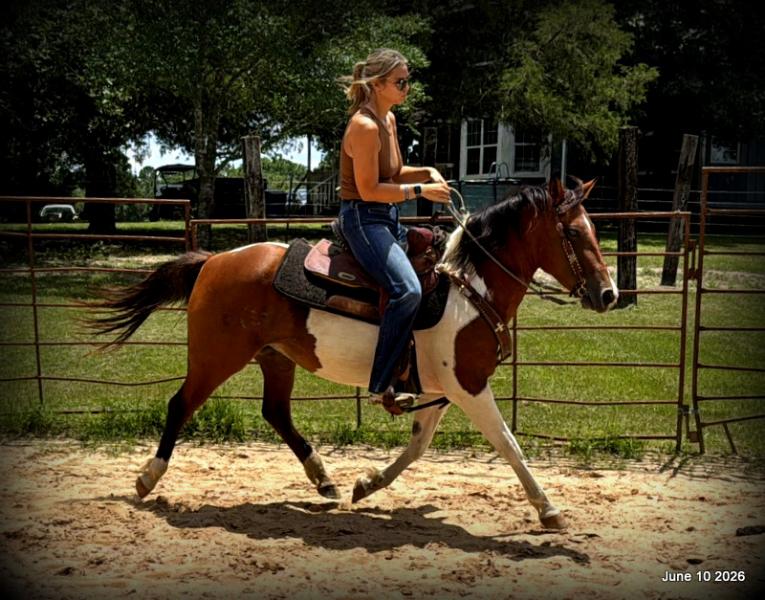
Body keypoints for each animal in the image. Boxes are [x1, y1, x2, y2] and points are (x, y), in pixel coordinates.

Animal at [89, 178, 617, 530]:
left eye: (594, 229)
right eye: (574, 233)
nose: (609, 294)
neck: (468, 287)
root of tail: (214, 260)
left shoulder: (443, 390)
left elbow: (417, 447)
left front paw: (367, 485)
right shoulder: (469, 386)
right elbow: (508, 444)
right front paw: (548, 508)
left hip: (275, 357)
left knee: (275, 412)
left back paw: (325, 480)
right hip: (216, 357)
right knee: (181, 404)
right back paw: (147, 478)